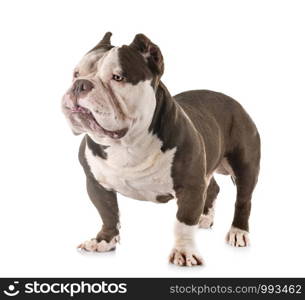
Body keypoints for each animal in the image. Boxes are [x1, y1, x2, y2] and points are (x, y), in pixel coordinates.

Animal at [61, 33, 258, 268]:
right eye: (76, 73)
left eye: (118, 77)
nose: (80, 84)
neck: (128, 143)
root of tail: (234, 101)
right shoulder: (96, 184)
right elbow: (107, 213)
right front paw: (104, 241)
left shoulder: (190, 187)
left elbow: (183, 222)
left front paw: (184, 251)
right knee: (212, 188)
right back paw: (205, 217)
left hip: (245, 166)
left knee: (243, 200)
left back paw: (238, 232)